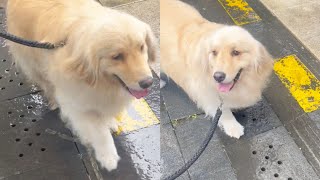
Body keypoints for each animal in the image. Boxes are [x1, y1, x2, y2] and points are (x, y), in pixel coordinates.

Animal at [6, 0, 157, 171]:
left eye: (141, 47)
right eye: (117, 56)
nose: (148, 82)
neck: (102, 83)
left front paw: (110, 122)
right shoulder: (76, 103)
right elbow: (99, 132)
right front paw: (107, 156)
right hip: (34, 63)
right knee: (47, 84)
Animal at [161, 0, 274, 139]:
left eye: (236, 52)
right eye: (214, 52)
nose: (218, 76)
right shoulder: (207, 92)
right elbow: (223, 110)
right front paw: (233, 126)